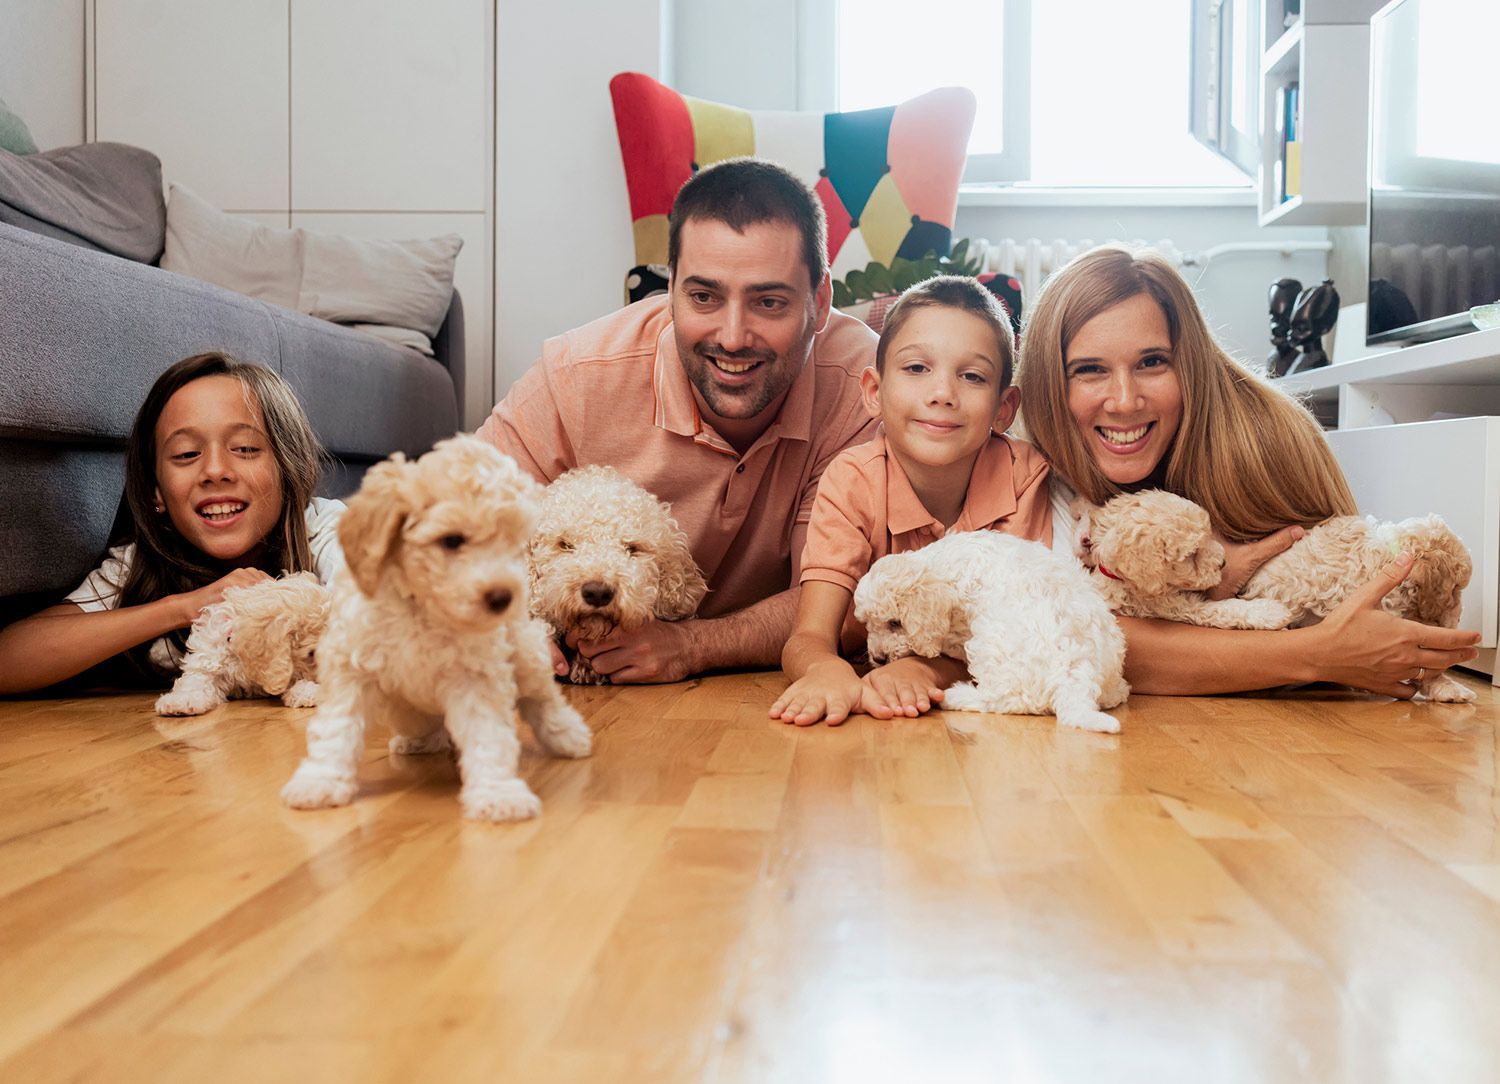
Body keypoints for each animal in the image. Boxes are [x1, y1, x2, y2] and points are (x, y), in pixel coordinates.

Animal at [282, 431, 591, 821]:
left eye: (513, 543)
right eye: (452, 540)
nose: (505, 596)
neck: (423, 608)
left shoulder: (478, 676)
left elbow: (489, 736)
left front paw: (498, 792)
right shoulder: (352, 668)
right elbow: (336, 728)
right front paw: (320, 780)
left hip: (527, 655)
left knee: (542, 700)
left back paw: (568, 736)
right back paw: (419, 740)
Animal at [858, 530, 1128, 734]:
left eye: (895, 623)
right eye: (868, 624)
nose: (878, 658)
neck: (943, 567)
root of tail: (1076, 678)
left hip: (989, 641)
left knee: (1005, 699)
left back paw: (955, 696)